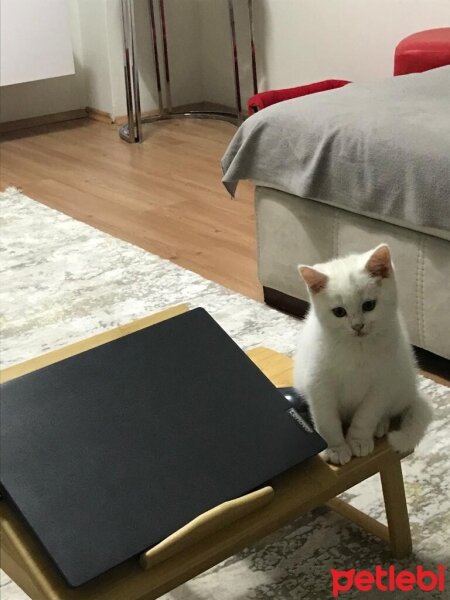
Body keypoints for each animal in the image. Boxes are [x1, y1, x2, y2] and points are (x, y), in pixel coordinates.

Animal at [294, 243, 434, 464]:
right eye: (339, 312)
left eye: (369, 305)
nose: (357, 326)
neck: (356, 349)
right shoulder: (318, 384)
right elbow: (326, 420)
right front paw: (335, 448)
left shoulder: (381, 385)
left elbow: (365, 416)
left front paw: (358, 441)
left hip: (400, 381)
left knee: (387, 411)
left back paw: (380, 425)